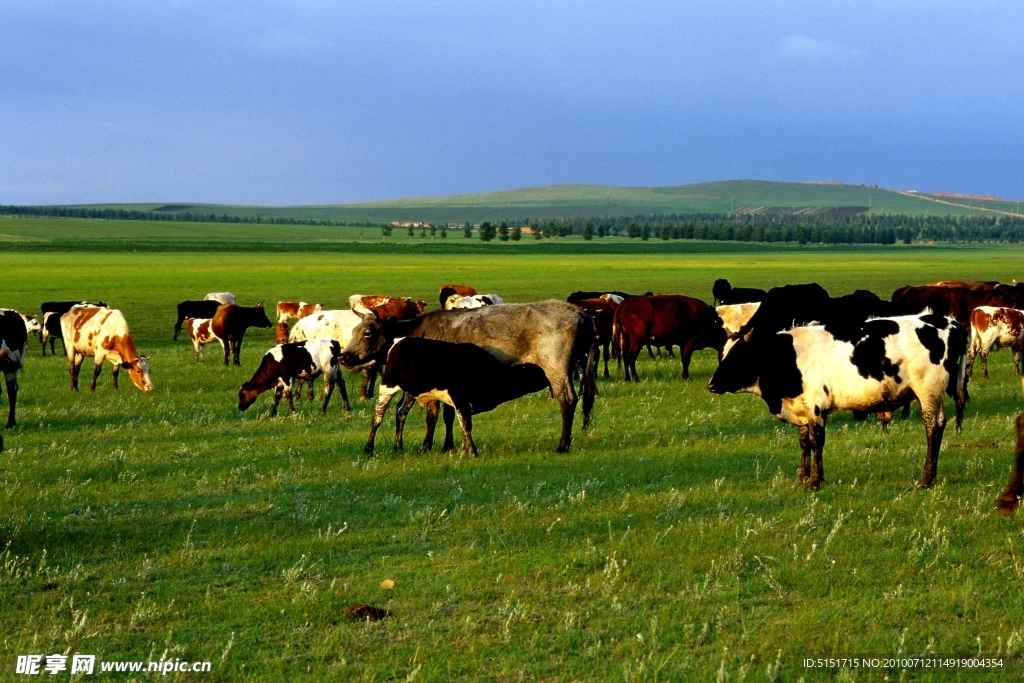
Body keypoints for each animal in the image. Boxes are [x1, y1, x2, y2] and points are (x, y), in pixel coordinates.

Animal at [364, 337, 548, 456]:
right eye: (537, 373)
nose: (548, 380)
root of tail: (398, 343)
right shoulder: (460, 399)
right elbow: (466, 425)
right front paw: (472, 452)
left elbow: (460, 424)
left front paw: (464, 449)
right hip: (388, 384)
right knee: (378, 415)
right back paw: (369, 448)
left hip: (411, 392)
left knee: (401, 412)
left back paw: (398, 446)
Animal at [708, 313, 970, 489]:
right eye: (721, 355)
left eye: (738, 357)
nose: (711, 385)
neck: (787, 356)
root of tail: (947, 321)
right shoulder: (802, 409)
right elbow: (804, 442)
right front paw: (802, 477)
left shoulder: (816, 405)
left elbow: (816, 442)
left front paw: (815, 480)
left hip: (928, 391)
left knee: (933, 427)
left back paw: (925, 479)